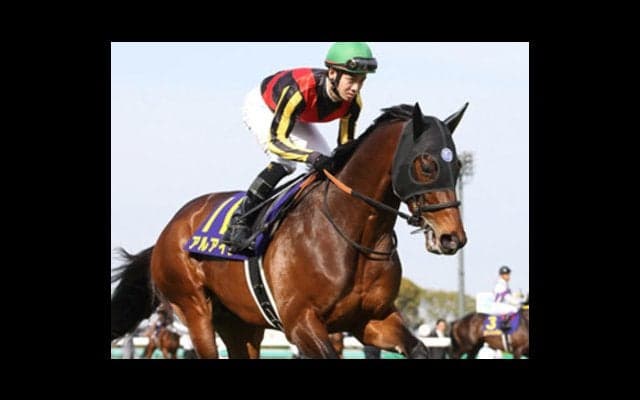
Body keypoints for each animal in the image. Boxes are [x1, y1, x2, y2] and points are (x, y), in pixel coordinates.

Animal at [111, 102, 468, 359]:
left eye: (458, 165)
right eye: (427, 164)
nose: (453, 237)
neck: (353, 231)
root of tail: (167, 232)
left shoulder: (371, 318)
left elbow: (418, 348)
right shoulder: (300, 322)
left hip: (240, 323)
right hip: (194, 308)